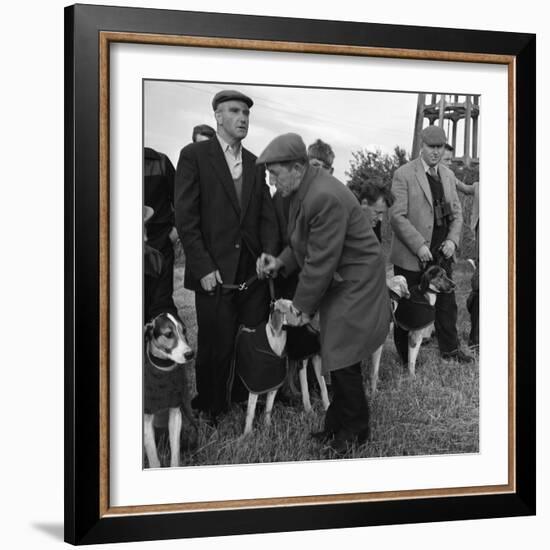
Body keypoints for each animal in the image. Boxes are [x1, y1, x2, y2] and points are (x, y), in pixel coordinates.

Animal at [144, 314, 196, 470]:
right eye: (168, 334)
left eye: (184, 330)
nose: (190, 354)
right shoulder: (146, 421)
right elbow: (154, 460)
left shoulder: (176, 414)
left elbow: (175, 453)